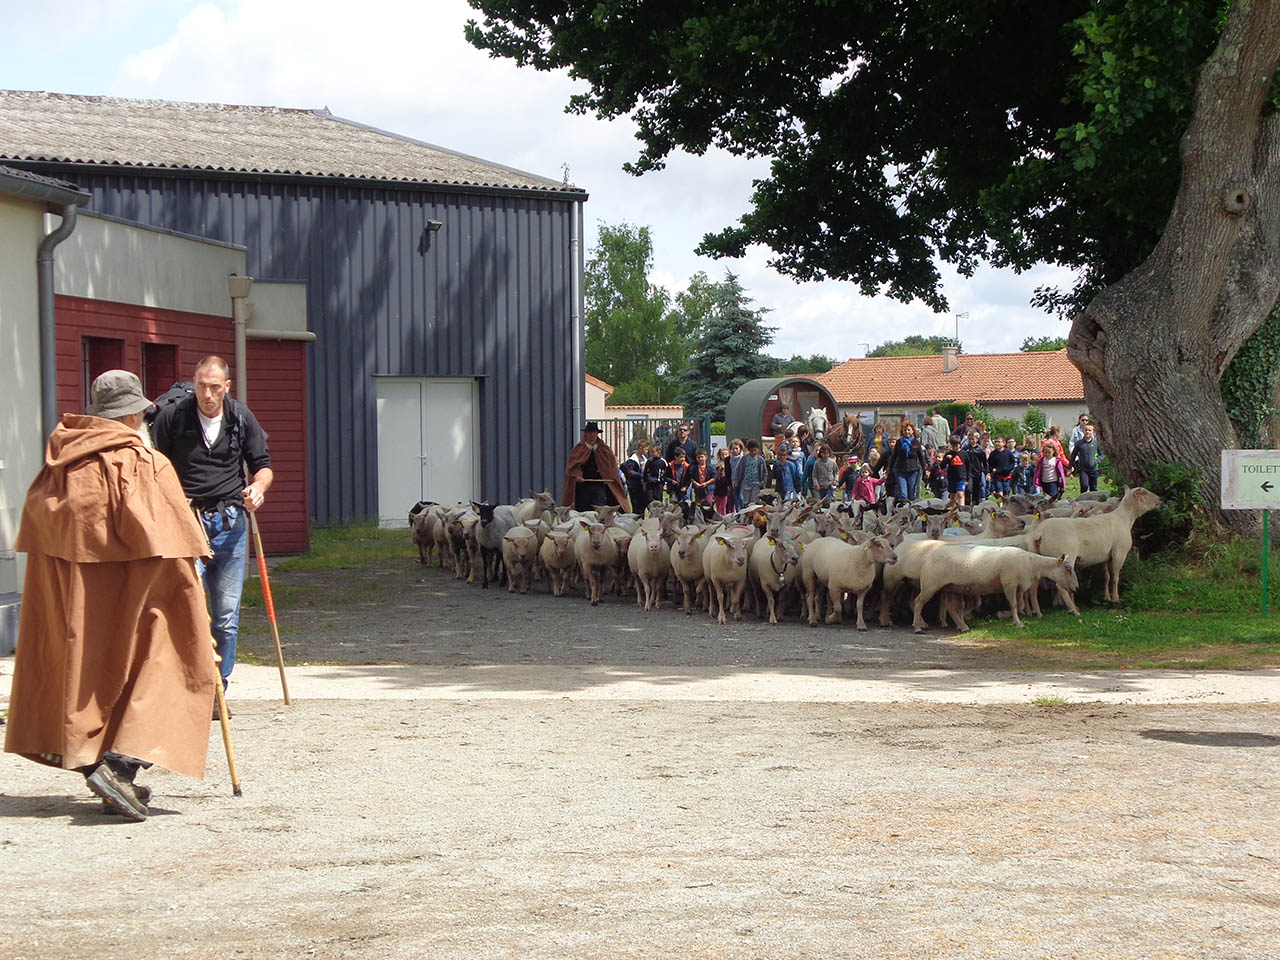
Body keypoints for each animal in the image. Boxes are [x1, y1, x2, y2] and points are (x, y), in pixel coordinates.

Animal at [911, 545, 1080, 634]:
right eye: (1067, 568)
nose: (1076, 588)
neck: (1031, 563)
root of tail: (929, 557)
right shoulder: (1009, 583)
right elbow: (1014, 605)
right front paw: (1017, 623)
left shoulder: (1019, 586)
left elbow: (1020, 606)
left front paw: (1002, 615)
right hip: (930, 585)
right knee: (918, 602)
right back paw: (918, 627)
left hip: (951, 587)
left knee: (951, 608)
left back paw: (963, 626)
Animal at [1034, 483, 1167, 611]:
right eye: (1144, 492)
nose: (1161, 500)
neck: (1124, 518)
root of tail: (1041, 532)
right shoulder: (1119, 553)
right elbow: (1115, 577)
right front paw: (1115, 599)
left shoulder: (1105, 556)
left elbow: (1106, 576)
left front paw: (1107, 597)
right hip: (1065, 556)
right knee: (1060, 585)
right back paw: (1072, 609)